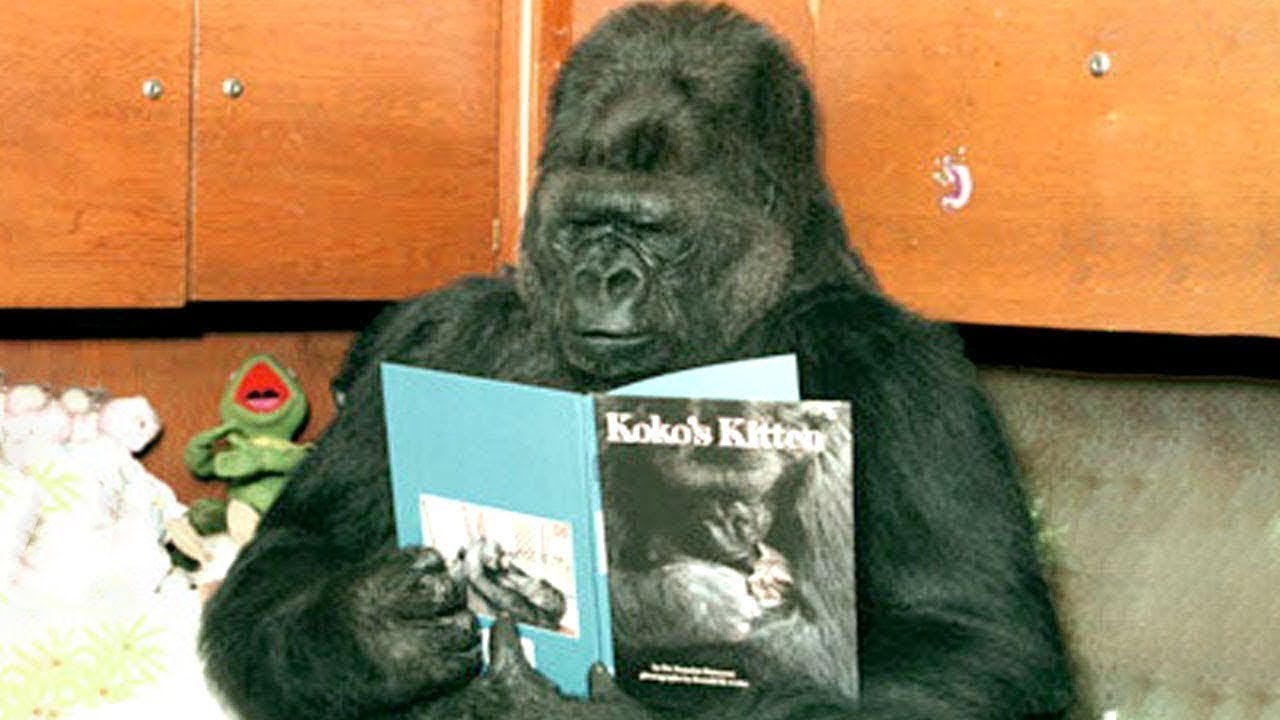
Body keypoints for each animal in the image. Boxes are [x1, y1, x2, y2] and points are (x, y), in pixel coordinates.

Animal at [200, 4, 1074, 719]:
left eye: (652, 230)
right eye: (586, 222)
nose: (604, 277)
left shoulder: (899, 371)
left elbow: (973, 642)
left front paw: (572, 711)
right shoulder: (434, 331)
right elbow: (292, 550)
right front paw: (376, 628)